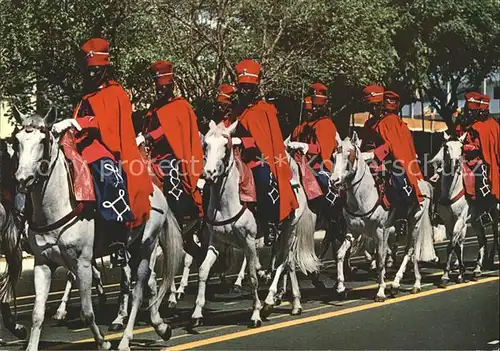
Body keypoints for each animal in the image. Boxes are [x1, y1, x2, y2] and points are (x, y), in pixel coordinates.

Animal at [12, 108, 183, 351]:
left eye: (43, 140)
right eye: (16, 141)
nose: (22, 179)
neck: (57, 204)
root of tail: (157, 191)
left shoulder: (82, 263)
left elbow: (87, 312)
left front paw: (103, 343)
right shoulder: (43, 263)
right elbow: (37, 314)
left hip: (145, 247)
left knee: (138, 291)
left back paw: (125, 339)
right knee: (148, 283)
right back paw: (160, 326)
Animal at [190, 121, 316, 328]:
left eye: (226, 146)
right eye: (205, 144)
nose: (208, 174)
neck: (227, 202)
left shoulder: (249, 241)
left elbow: (253, 277)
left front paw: (256, 313)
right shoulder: (216, 242)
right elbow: (203, 270)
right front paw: (197, 313)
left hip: (290, 230)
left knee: (283, 262)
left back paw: (269, 302)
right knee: (288, 263)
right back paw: (295, 303)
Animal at [332, 133, 438, 302]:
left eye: (350, 155)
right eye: (334, 156)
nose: (333, 180)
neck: (363, 196)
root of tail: (423, 183)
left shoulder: (381, 230)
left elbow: (381, 260)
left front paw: (381, 291)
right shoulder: (352, 231)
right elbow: (340, 254)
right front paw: (341, 287)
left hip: (414, 221)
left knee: (411, 250)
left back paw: (409, 283)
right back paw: (401, 284)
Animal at [430, 133, 496, 284]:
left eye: (461, 147)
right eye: (446, 147)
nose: (454, 164)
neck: (451, 191)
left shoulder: (460, 220)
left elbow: (452, 245)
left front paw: (447, 275)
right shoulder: (449, 221)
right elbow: (456, 245)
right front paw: (458, 272)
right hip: (477, 220)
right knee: (482, 239)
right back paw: (477, 269)